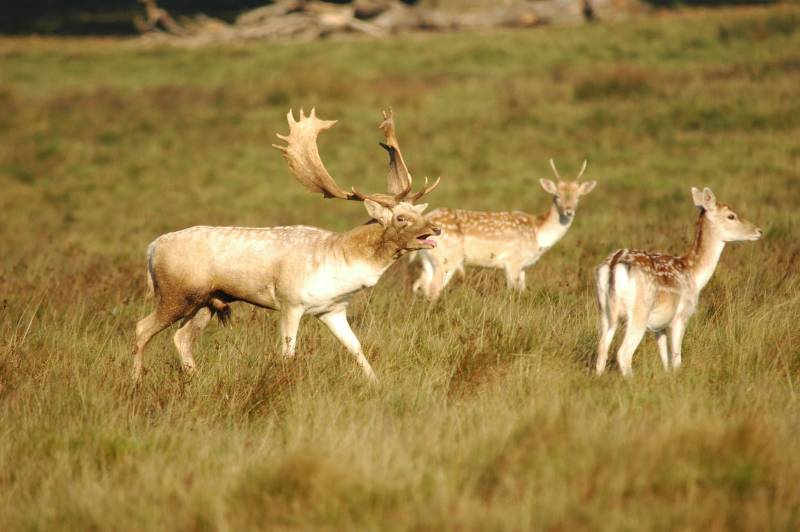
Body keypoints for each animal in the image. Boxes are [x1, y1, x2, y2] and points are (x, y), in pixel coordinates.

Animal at [134, 109, 440, 382]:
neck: (338, 261)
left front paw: (375, 383)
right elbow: (288, 352)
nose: (435, 229)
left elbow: (356, 347)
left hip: (207, 300)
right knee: (142, 328)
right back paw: (137, 380)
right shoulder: (290, 301)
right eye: (401, 218)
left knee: (181, 336)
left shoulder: (332, 309)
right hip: (176, 294)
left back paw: (192, 378)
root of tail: (152, 248)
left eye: (418, 212)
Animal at [412, 158, 592, 302]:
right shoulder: (513, 261)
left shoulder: (523, 267)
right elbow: (513, 292)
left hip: (429, 258)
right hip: (448, 258)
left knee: (419, 285)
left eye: (578, 197)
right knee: (433, 288)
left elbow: (522, 291)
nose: (569, 211)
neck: (538, 233)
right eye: (557, 196)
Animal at [592, 187, 764, 378]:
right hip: (639, 312)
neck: (694, 274)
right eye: (731, 216)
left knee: (601, 350)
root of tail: (613, 264)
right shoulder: (681, 315)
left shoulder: (659, 325)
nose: (758, 231)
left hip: (604, 310)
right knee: (623, 353)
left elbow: (665, 357)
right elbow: (676, 358)